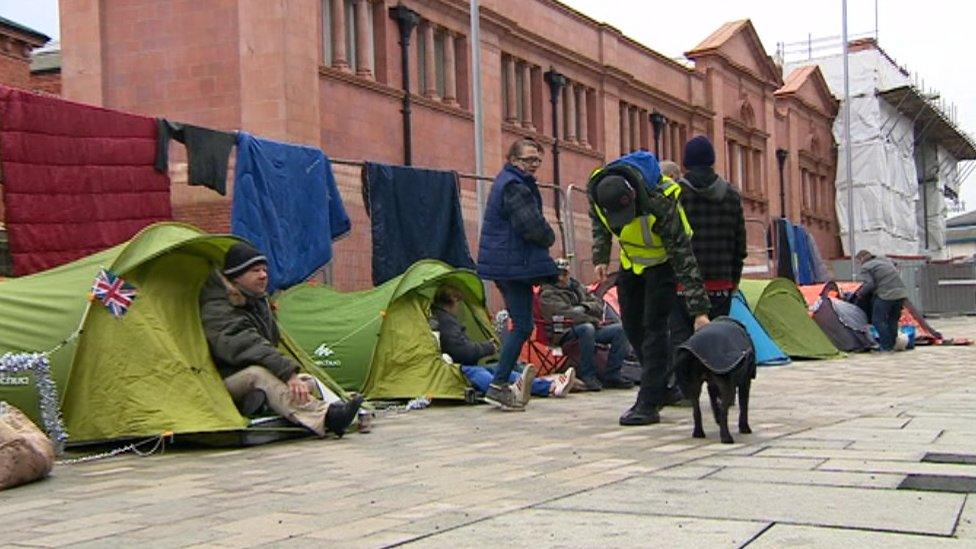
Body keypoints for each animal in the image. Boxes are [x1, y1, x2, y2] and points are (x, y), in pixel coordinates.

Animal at [676, 314, 760, 444]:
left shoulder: (712, 385)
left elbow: (713, 402)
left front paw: (717, 418)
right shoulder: (745, 383)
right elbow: (743, 406)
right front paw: (745, 428)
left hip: (694, 385)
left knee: (697, 410)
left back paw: (698, 433)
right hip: (728, 388)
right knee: (724, 410)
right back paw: (726, 437)